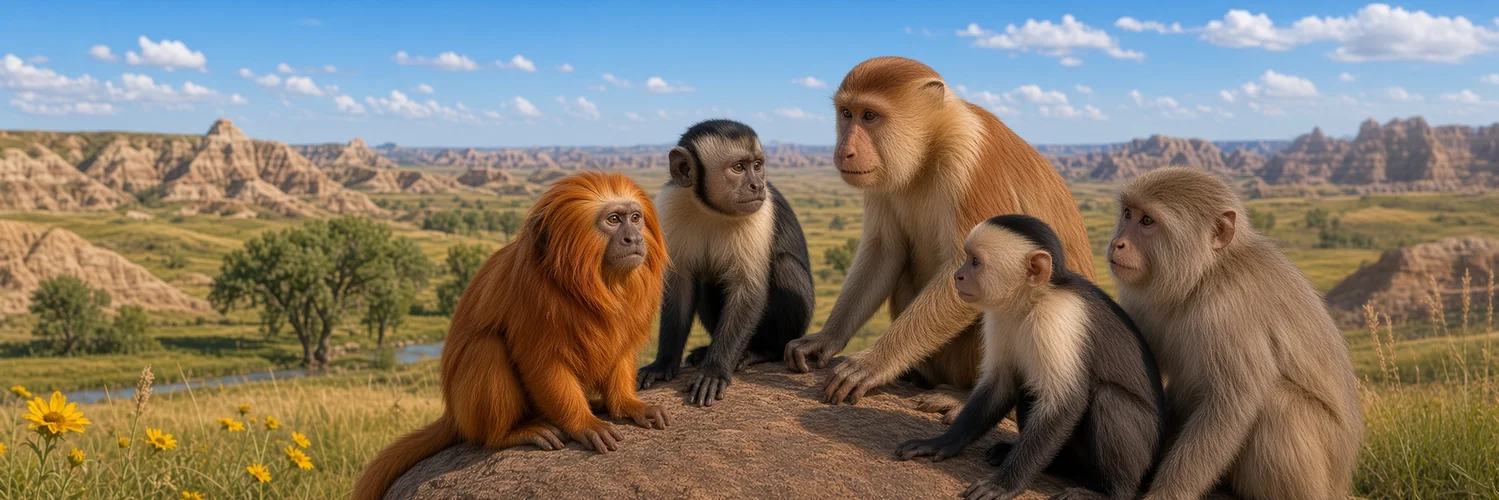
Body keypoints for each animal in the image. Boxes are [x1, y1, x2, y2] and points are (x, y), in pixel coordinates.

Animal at [352, 172, 672, 500]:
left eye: (635, 218)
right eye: (613, 219)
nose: (634, 239)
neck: (594, 284)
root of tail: (453, 414)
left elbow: (620, 351)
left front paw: (627, 404)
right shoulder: (532, 298)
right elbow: (540, 362)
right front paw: (582, 422)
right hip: (470, 413)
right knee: (486, 349)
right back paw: (511, 433)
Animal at [636, 119, 815, 407]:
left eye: (757, 165)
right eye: (739, 167)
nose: (757, 185)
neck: (712, 209)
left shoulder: (761, 211)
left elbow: (748, 289)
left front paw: (714, 370)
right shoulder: (669, 205)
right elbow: (680, 285)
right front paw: (663, 363)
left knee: (783, 264)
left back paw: (763, 350)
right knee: (708, 280)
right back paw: (705, 350)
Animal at [785, 56, 1095, 411]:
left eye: (870, 116)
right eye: (847, 113)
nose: (843, 151)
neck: (929, 147)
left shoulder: (969, 163)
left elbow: (973, 269)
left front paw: (872, 363)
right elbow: (884, 251)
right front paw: (825, 339)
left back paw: (961, 396)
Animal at [895, 215, 1165, 500]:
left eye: (975, 262)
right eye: (966, 259)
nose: (958, 276)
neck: (1032, 301)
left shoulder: (1057, 316)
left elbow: (1064, 403)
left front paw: (1005, 483)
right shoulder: (999, 315)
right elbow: (1000, 385)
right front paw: (941, 443)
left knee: (1107, 398)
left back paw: (1111, 492)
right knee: (1029, 389)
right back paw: (1050, 464)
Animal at [1108, 167, 1361, 500]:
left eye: (1147, 221)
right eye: (1127, 214)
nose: (1117, 243)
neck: (1204, 276)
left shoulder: (1229, 310)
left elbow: (1231, 406)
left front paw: (1168, 494)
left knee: (1280, 406)